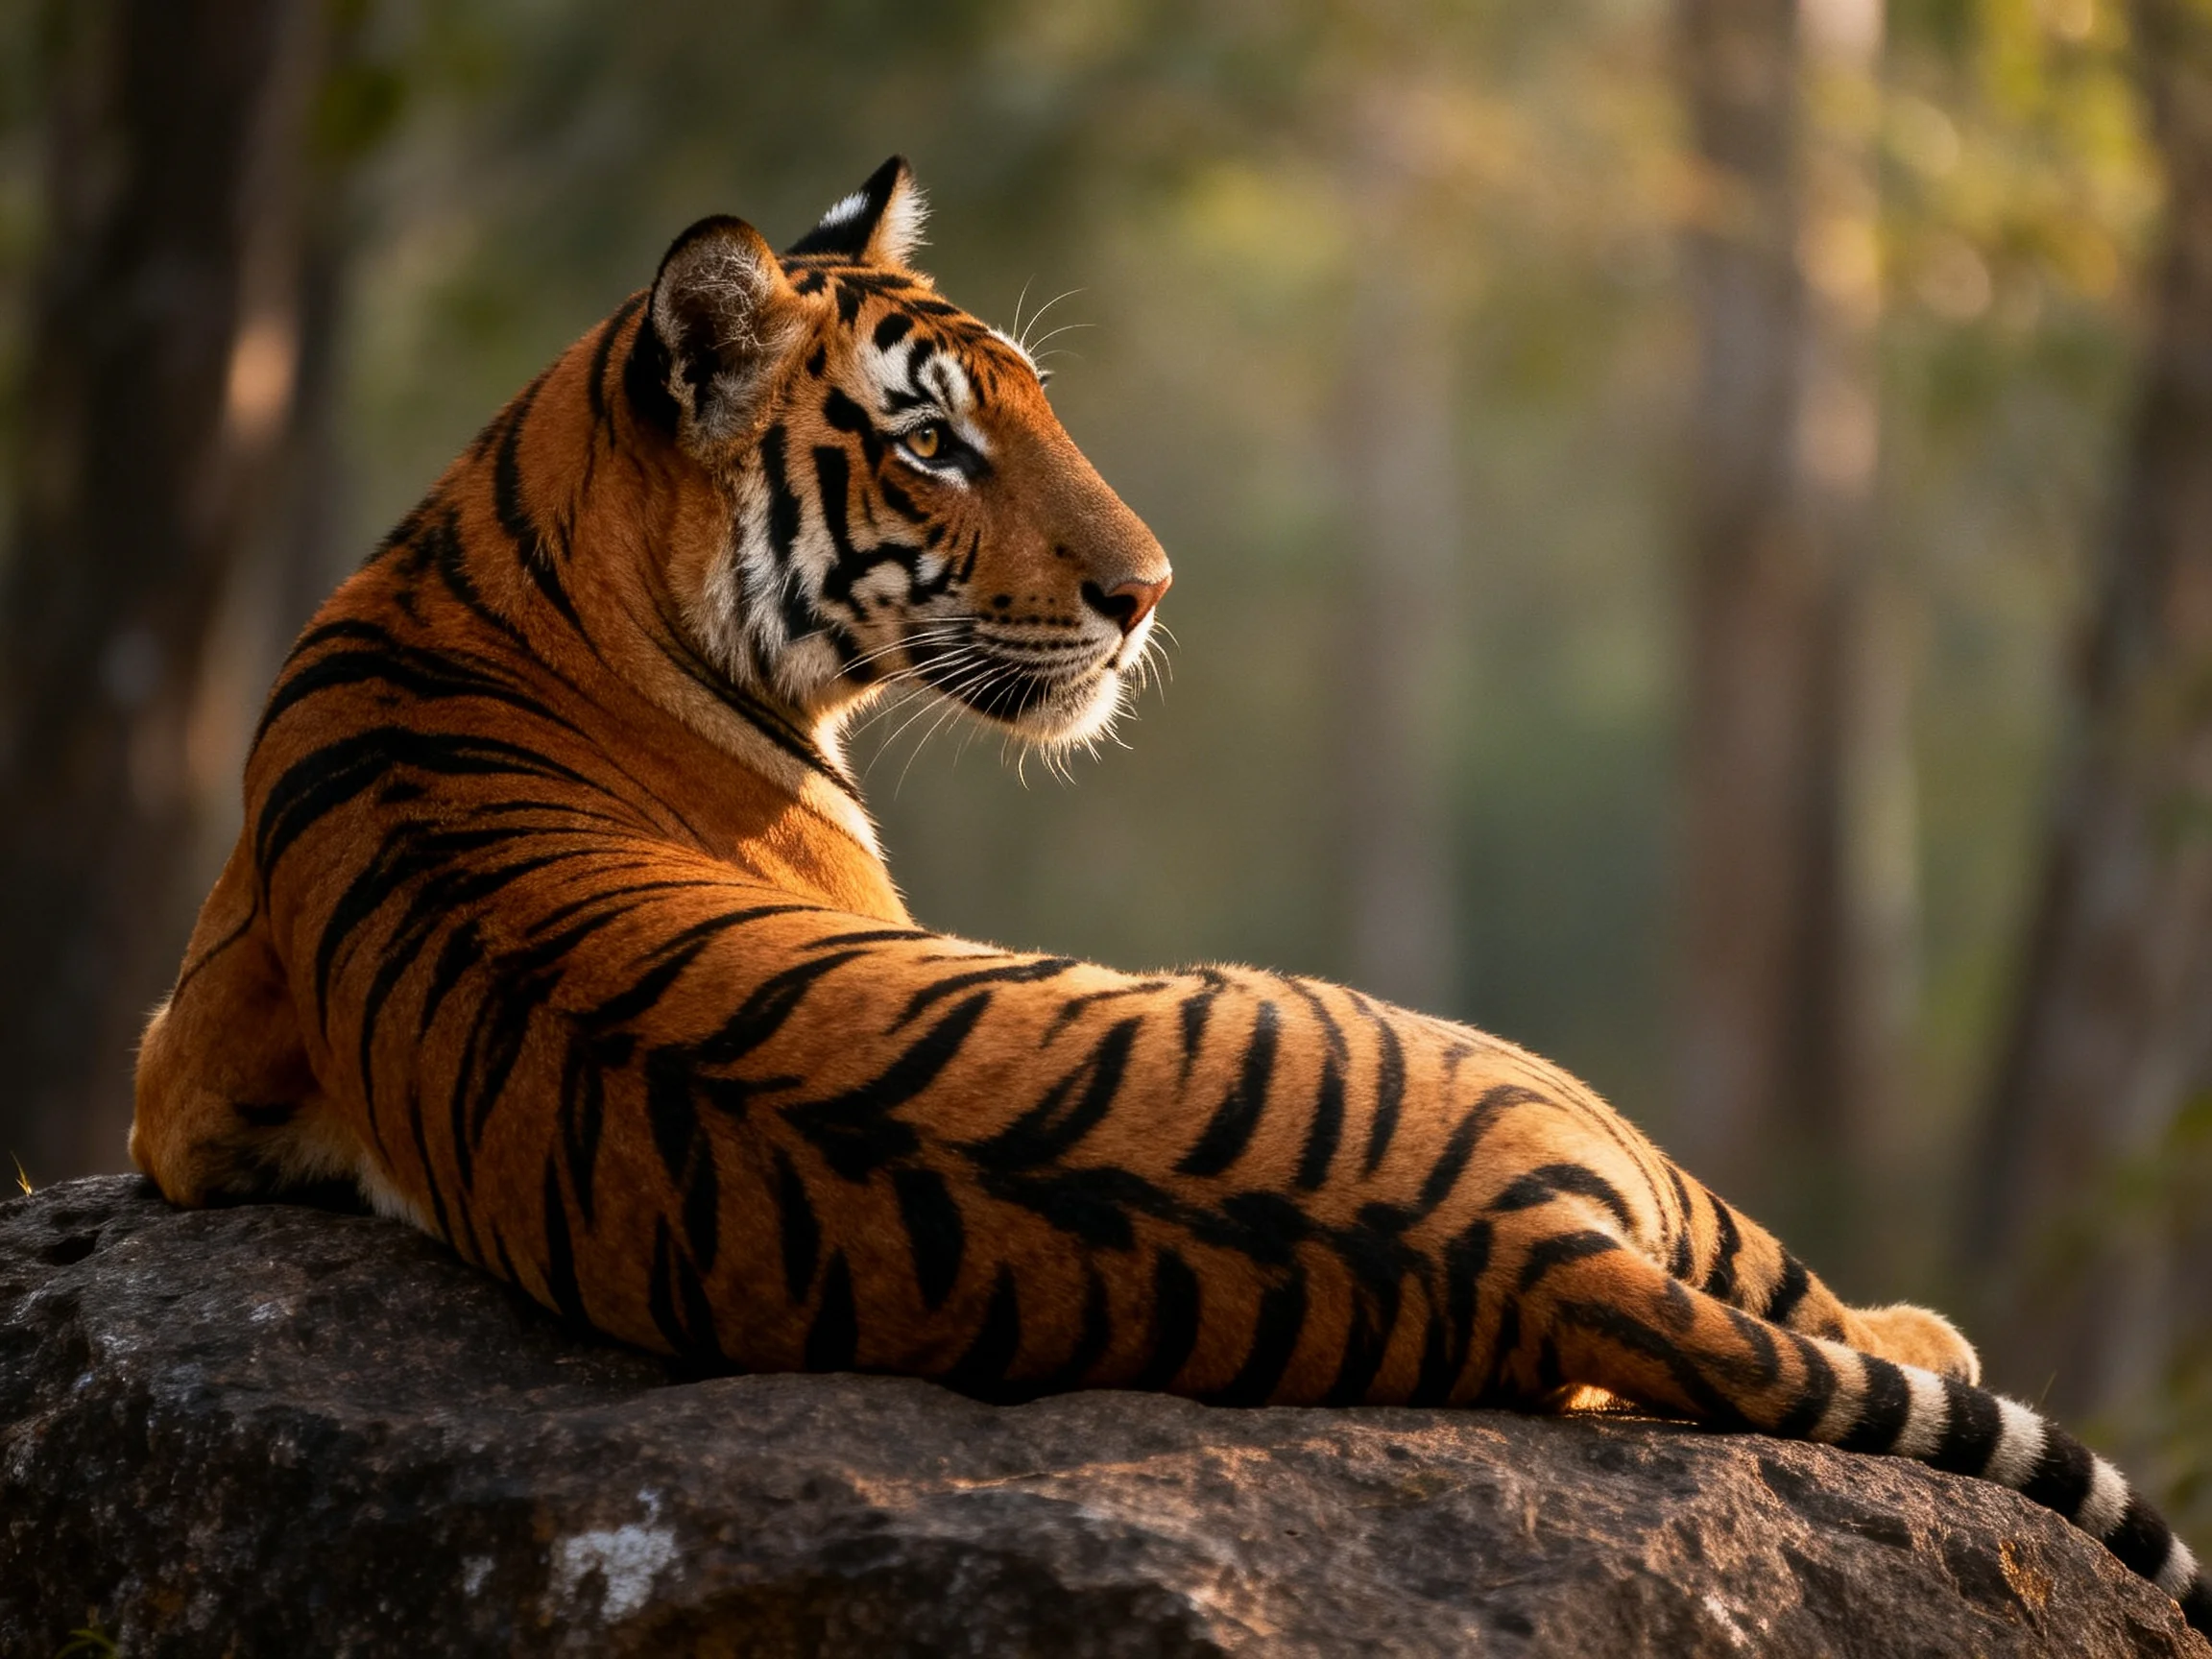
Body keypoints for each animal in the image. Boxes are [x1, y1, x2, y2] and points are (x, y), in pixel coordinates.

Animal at [130, 156, 2208, 1636]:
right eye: (932, 442)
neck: (498, 538)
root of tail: (1534, 1245)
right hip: (1561, 1090)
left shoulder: (187, 1074)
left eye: (1034, 412)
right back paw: (1923, 1327)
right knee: (1798, 1306)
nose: (1148, 593)